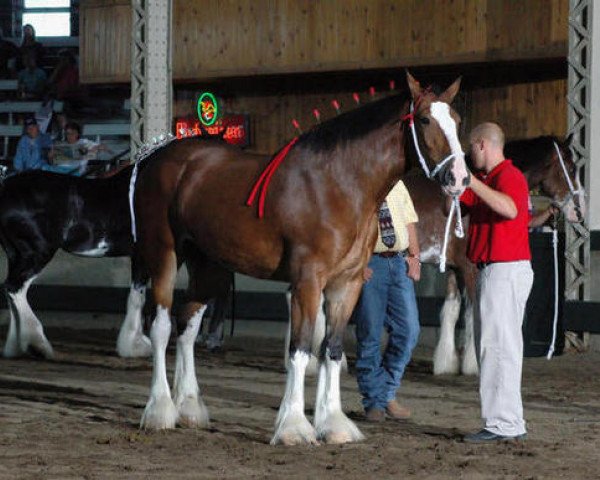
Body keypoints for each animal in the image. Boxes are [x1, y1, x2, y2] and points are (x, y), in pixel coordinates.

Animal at [134, 73, 472, 444]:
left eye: (456, 121)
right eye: (425, 120)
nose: (460, 178)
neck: (338, 185)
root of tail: (157, 156)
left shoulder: (346, 284)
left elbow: (332, 350)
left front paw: (333, 423)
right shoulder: (308, 281)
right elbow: (300, 349)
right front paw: (294, 427)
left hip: (208, 266)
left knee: (187, 326)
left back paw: (190, 408)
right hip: (163, 253)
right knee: (162, 326)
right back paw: (160, 411)